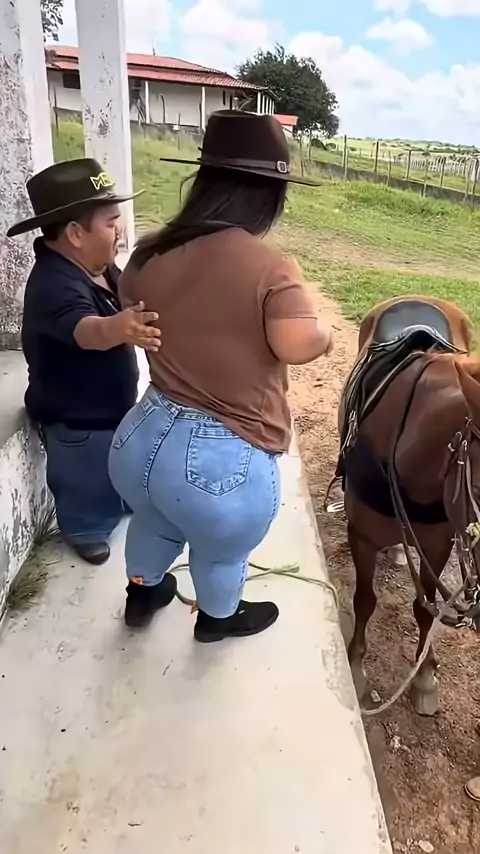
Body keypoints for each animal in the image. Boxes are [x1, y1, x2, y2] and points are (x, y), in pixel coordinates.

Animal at [334, 295, 480, 717]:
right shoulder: (361, 536)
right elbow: (365, 600)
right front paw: (356, 667)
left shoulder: (439, 543)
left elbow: (424, 607)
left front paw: (425, 676)